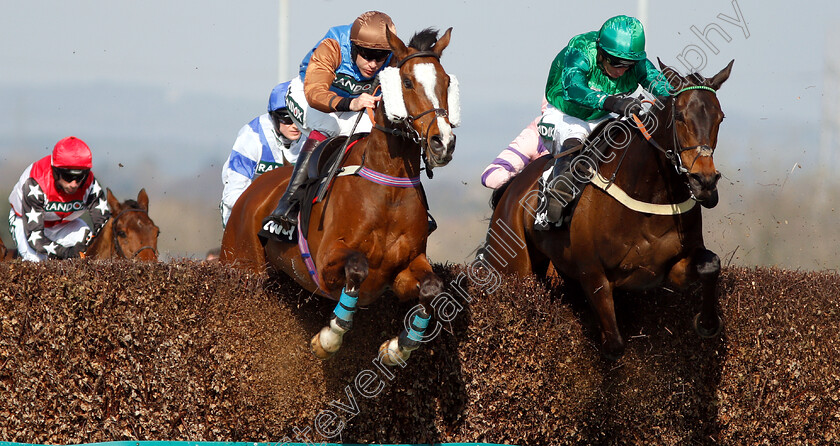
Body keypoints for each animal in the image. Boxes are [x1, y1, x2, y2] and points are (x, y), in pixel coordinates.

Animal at [221, 27, 460, 366]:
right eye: (407, 82)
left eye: (446, 81)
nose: (443, 142)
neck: (389, 191)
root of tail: (249, 193)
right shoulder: (326, 263)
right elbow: (357, 267)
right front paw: (329, 338)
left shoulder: (405, 268)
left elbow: (432, 288)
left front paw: (398, 347)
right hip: (243, 266)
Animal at [482, 61, 732, 358]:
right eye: (681, 116)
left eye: (720, 117)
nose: (704, 182)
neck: (649, 196)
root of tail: (513, 185)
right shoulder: (593, 274)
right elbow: (614, 344)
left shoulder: (670, 268)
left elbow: (711, 264)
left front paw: (707, 322)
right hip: (514, 266)